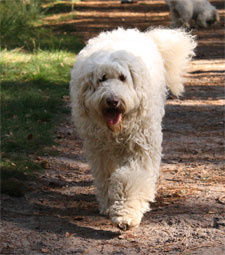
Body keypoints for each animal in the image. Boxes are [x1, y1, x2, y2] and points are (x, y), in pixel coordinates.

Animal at [70, 27, 197, 229]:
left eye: (123, 78)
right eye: (102, 79)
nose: (113, 101)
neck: (117, 129)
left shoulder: (140, 148)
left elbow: (130, 179)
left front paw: (126, 214)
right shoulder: (99, 152)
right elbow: (105, 177)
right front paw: (109, 205)